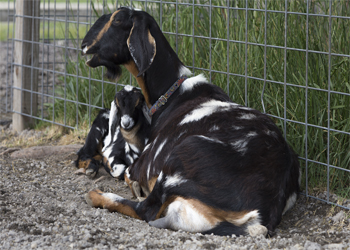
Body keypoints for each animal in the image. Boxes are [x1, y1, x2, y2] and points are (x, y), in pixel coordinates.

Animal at [80, 6, 300, 236]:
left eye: (117, 20)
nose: (84, 45)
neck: (172, 94)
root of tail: (259, 214)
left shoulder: (141, 164)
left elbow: (128, 176)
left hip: (180, 157)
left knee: (146, 209)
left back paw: (96, 195)